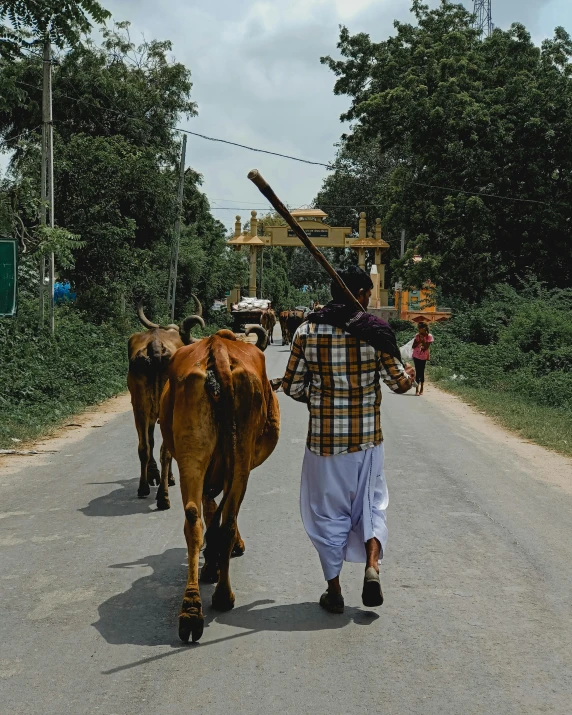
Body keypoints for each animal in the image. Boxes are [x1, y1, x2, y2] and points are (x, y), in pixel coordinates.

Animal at [128, 296, 204, 510]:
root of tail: (155, 347)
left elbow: (149, 442)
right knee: (165, 451)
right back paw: (163, 495)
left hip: (139, 406)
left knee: (144, 447)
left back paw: (144, 488)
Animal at [159, 324, 280, 644]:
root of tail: (219, 352)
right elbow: (218, 510)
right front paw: (217, 560)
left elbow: (210, 508)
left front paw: (211, 563)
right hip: (239, 460)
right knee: (227, 519)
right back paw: (222, 596)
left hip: (192, 454)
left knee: (193, 517)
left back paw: (191, 611)